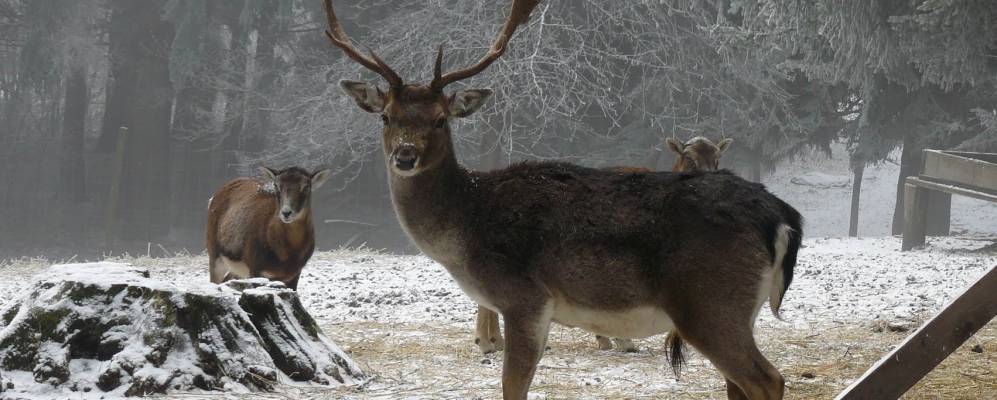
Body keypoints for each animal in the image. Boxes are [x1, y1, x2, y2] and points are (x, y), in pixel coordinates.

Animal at [322, 1, 796, 398]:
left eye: (441, 119)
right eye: (386, 117)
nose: (405, 156)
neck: (466, 226)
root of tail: (781, 216)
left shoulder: (524, 299)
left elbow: (513, 387)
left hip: (709, 304)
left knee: (769, 379)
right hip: (738, 311)